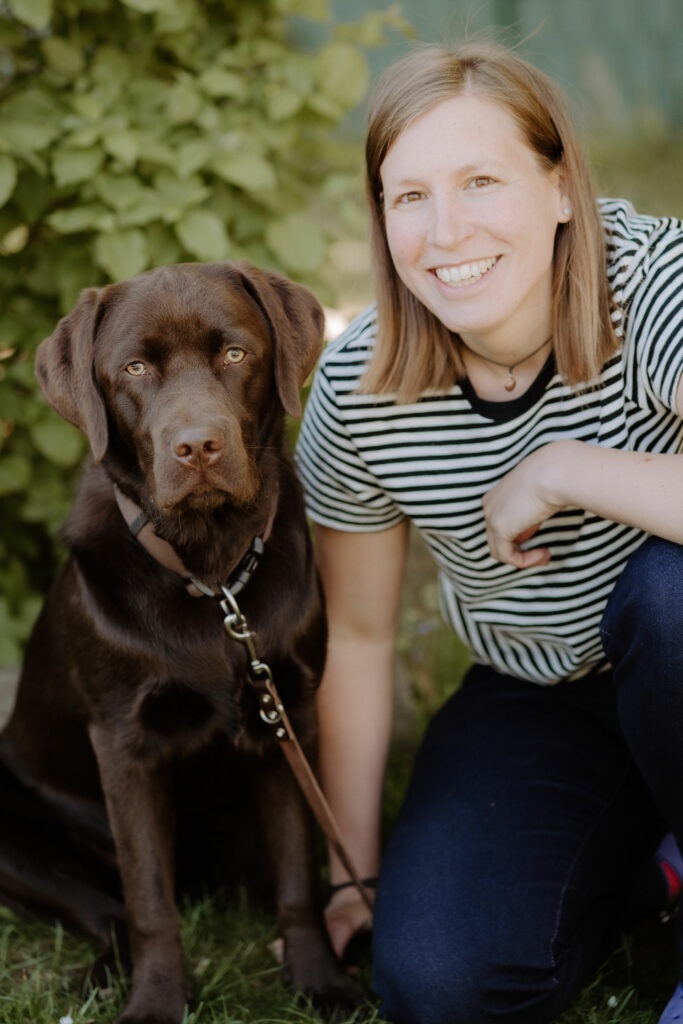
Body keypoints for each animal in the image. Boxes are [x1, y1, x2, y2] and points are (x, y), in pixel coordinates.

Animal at [0, 262, 365, 1023]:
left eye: (235, 353)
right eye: (134, 367)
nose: (198, 447)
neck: (211, 575)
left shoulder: (289, 717)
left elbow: (298, 879)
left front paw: (321, 982)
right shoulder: (123, 743)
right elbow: (148, 902)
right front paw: (157, 1003)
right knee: (109, 909)